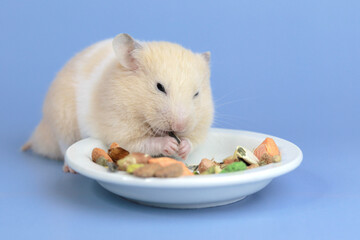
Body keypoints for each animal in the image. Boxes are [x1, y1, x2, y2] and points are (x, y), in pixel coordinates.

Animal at [22, 34, 214, 172]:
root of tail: (39, 134)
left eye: (196, 93)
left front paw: (183, 147)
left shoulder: (199, 128)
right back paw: (69, 168)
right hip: (62, 123)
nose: (180, 127)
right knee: (63, 148)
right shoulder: (119, 130)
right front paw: (170, 144)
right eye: (160, 87)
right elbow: (142, 142)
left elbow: (193, 141)